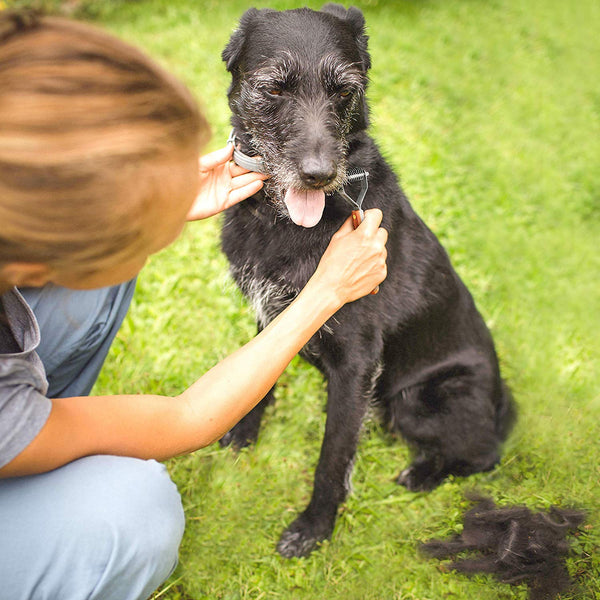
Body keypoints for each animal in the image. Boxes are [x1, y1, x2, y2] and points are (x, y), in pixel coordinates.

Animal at [218, 4, 512, 556]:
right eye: (275, 88)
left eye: (343, 91)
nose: (317, 174)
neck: (285, 222)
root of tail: (501, 402)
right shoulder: (273, 316)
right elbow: (259, 381)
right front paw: (243, 434)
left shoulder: (356, 361)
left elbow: (332, 458)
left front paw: (313, 529)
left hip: (421, 399)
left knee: (484, 454)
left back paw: (423, 473)